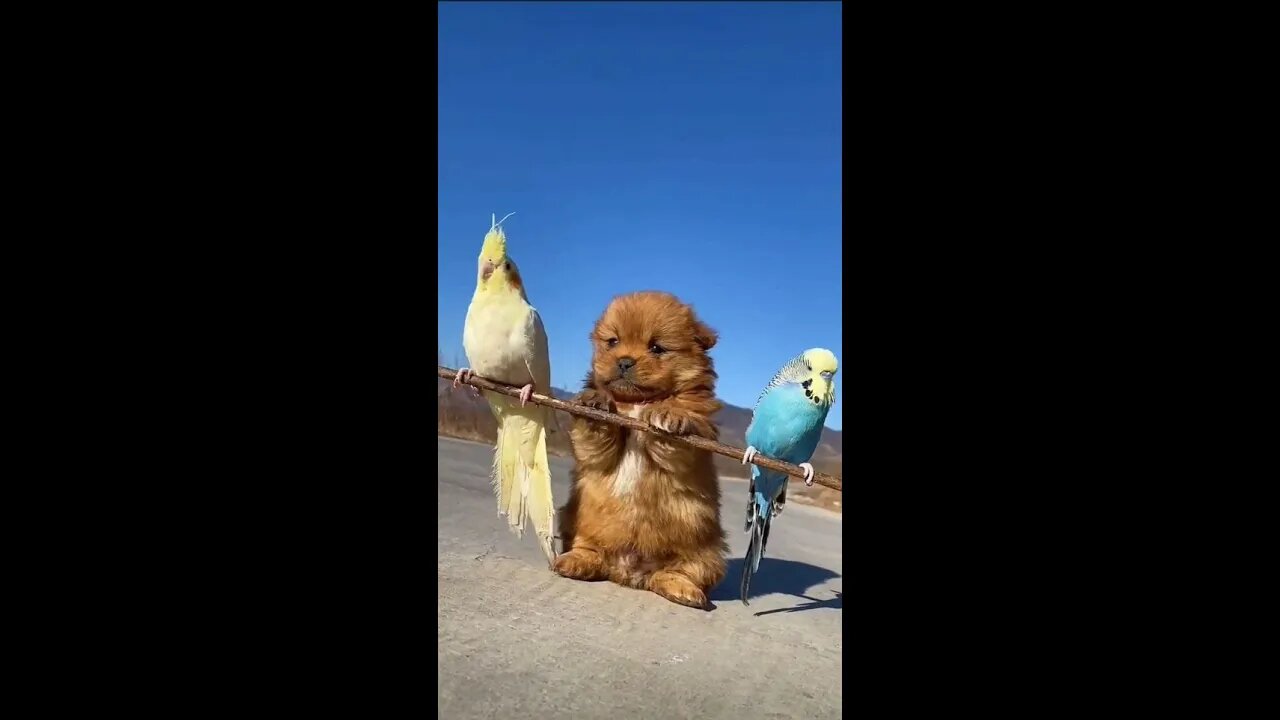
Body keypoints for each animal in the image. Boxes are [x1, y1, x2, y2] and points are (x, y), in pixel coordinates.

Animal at [555, 288, 727, 602]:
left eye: (656, 348)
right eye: (613, 342)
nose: (624, 361)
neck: (637, 403)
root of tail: (629, 573)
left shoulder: (697, 442)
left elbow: (681, 431)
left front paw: (670, 416)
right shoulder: (595, 450)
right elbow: (594, 434)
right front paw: (594, 401)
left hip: (707, 552)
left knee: (685, 572)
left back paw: (681, 589)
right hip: (577, 521)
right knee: (588, 548)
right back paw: (576, 561)